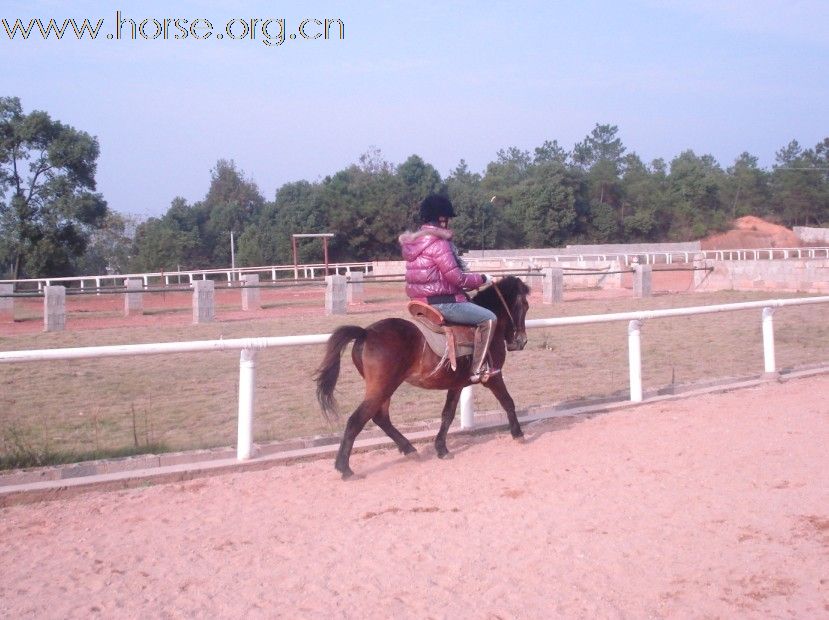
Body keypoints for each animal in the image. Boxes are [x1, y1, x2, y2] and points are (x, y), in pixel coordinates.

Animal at [310, 276, 532, 480]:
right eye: (525, 305)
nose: (521, 341)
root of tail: (366, 332)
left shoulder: (457, 384)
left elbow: (447, 415)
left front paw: (441, 448)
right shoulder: (493, 377)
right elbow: (508, 402)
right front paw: (518, 433)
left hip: (385, 388)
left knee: (381, 417)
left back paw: (408, 449)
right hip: (382, 387)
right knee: (357, 420)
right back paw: (344, 468)